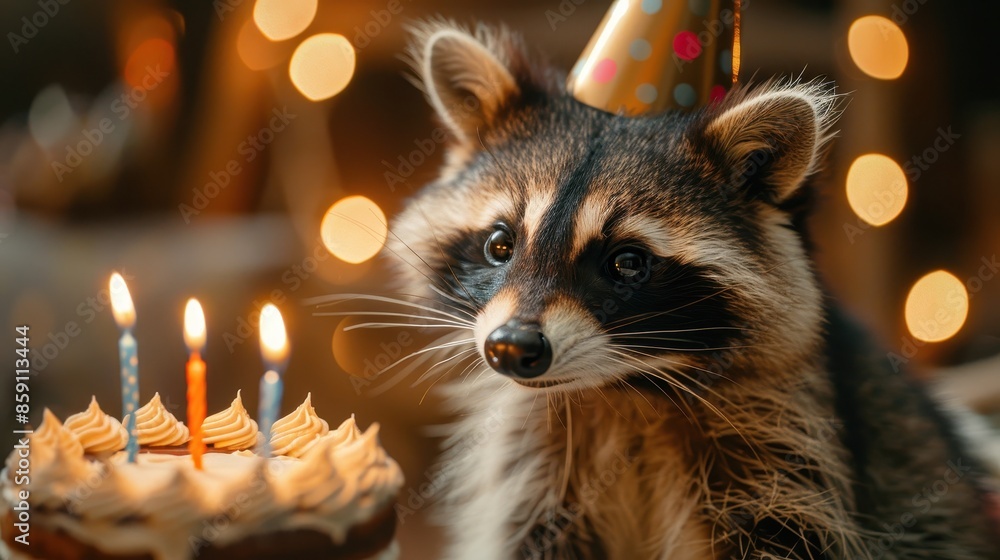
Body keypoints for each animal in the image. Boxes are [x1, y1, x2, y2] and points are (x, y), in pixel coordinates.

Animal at [367, 21, 999, 559]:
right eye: (500, 244)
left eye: (627, 263)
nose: (511, 346)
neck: (623, 391)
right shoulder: (531, 472)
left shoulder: (791, 447)